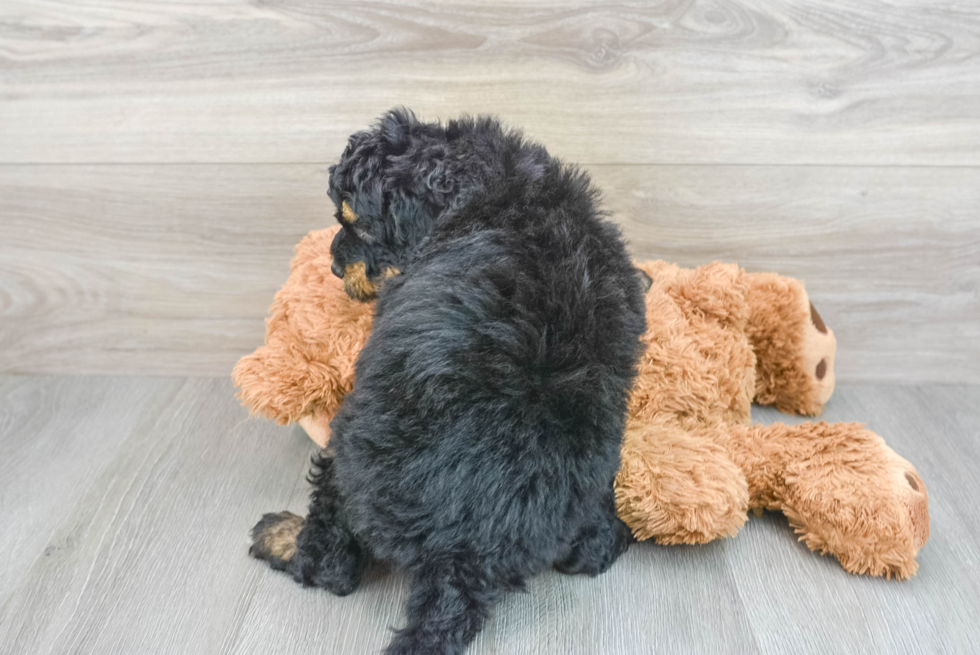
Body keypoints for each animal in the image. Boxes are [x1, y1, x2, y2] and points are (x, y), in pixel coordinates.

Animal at [253, 110, 648, 652]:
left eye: (359, 224)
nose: (333, 266)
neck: (492, 185)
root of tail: (464, 561)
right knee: (593, 549)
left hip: (348, 458)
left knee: (333, 562)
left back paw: (282, 537)